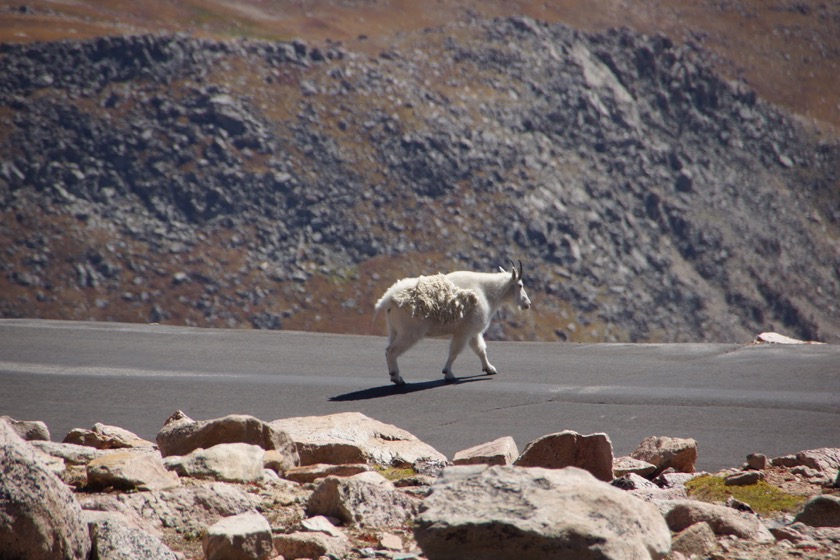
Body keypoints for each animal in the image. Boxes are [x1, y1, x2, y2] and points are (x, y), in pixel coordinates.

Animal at [376, 262, 532, 384]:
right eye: (520, 285)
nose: (527, 304)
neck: (487, 293)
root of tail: (388, 300)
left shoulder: (473, 332)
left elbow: (480, 350)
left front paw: (489, 369)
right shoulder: (464, 331)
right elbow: (454, 352)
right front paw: (448, 374)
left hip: (394, 330)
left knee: (387, 349)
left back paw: (395, 376)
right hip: (410, 332)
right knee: (392, 351)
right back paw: (397, 378)